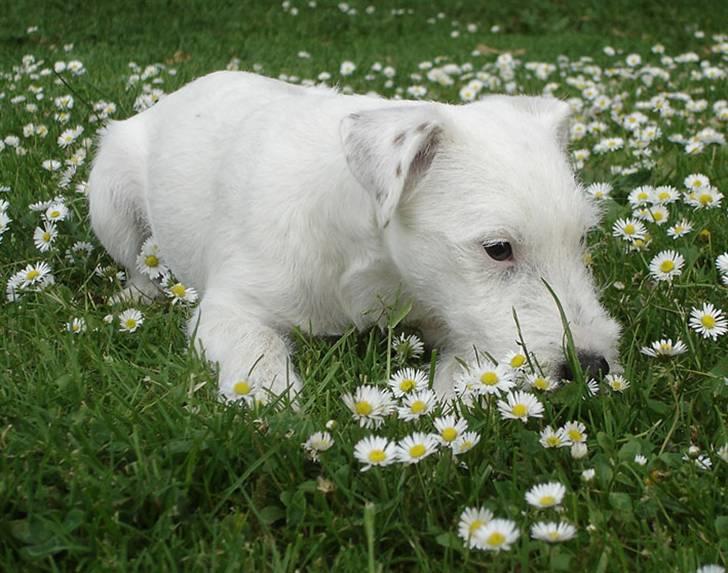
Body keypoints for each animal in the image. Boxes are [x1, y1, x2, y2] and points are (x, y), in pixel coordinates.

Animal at [86, 70, 620, 402]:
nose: (593, 367)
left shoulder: (457, 318)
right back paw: (138, 292)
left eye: (580, 239)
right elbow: (256, 353)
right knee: (137, 261)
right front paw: (272, 408)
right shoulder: (229, 308)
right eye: (498, 249)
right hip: (108, 195)